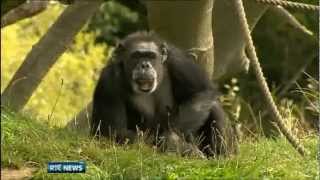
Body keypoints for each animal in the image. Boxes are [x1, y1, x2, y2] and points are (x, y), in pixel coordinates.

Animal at [90, 31, 235, 157]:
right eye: (136, 56)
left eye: (151, 56)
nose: (145, 65)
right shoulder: (108, 81)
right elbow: (115, 132)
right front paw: (176, 144)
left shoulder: (178, 59)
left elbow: (202, 91)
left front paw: (172, 140)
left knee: (213, 106)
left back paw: (221, 158)